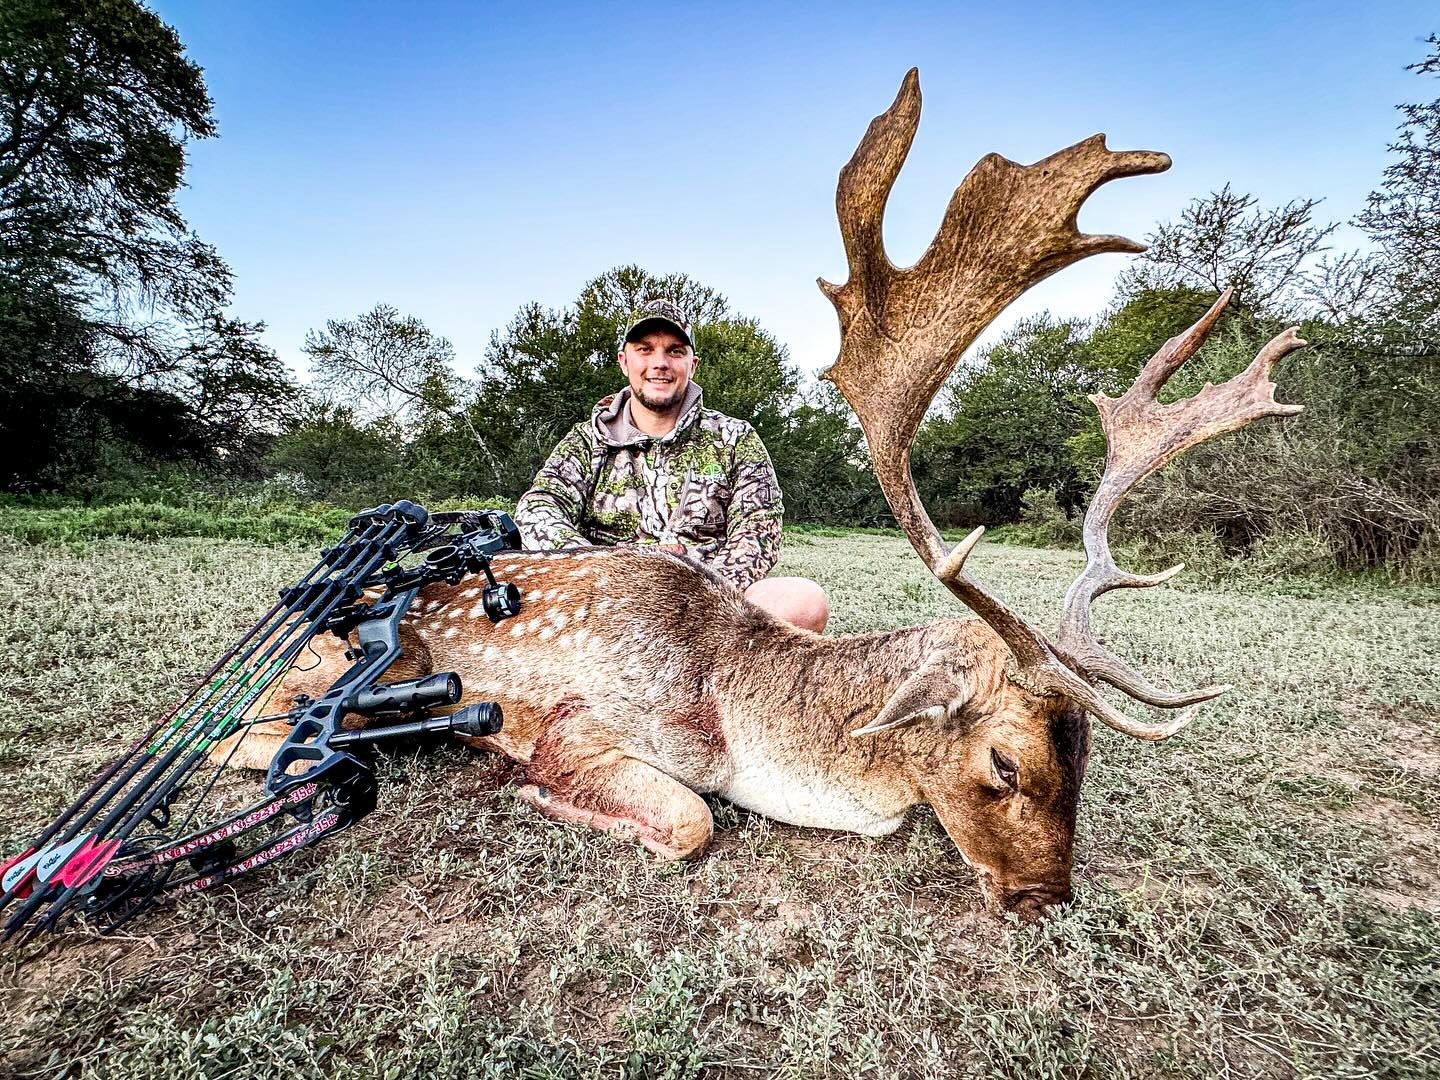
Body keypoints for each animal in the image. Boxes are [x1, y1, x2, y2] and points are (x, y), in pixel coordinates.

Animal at [213, 70, 1304, 919]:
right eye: (1005, 763)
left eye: (1085, 762)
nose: (1047, 901)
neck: (733, 713)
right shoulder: (586, 721)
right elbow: (689, 817)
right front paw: (527, 789)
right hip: (322, 677)